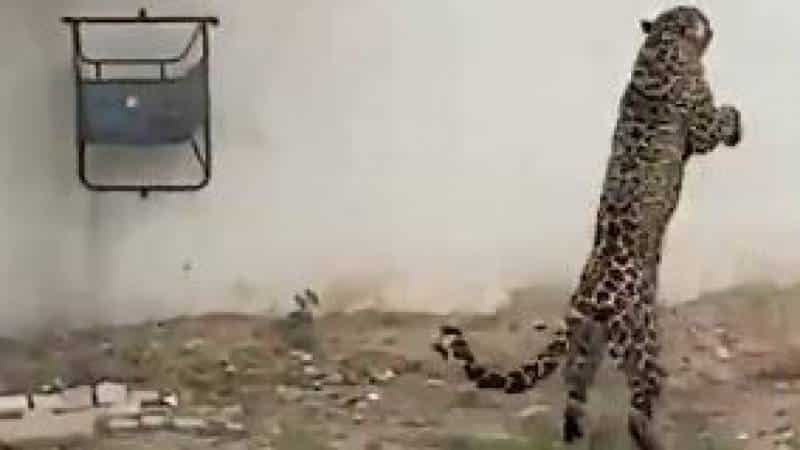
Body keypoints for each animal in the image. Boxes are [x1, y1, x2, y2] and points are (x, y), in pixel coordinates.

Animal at [431, 6, 742, 450]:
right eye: (697, 16)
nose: (709, 21)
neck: (658, 46)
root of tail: (587, 295)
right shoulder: (700, 126)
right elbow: (721, 118)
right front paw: (737, 124)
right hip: (640, 339)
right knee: (641, 396)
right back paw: (653, 438)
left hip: (586, 345)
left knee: (575, 394)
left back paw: (577, 437)